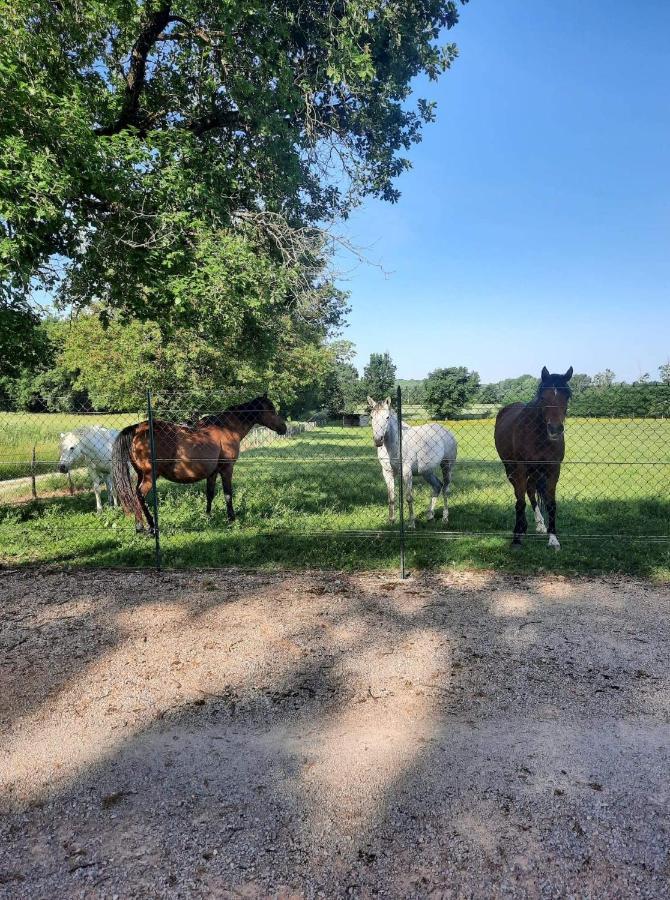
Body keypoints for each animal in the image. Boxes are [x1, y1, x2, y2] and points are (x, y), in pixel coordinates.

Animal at [111, 396, 288, 536]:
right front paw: (231, 519)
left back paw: (139, 526)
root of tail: (138, 429)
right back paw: (151, 527)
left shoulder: (212, 472)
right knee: (139, 495)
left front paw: (207, 517)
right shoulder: (226, 469)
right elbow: (228, 494)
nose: (283, 428)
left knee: (134, 496)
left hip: (141, 474)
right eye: (271, 410)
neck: (226, 428)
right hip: (150, 476)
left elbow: (210, 493)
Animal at [370, 396, 460, 528]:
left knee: (445, 489)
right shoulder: (387, 472)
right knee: (437, 486)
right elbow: (391, 497)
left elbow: (409, 497)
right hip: (427, 472)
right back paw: (430, 516)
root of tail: (448, 432)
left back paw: (445, 518)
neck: (395, 443)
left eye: (387, 417)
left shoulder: (407, 472)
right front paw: (391, 521)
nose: (378, 440)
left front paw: (411, 523)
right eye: (371, 417)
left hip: (447, 466)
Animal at [496, 364, 576, 548]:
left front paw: (553, 539)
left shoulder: (553, 469)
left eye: (567, 395)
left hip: (535, 471)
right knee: (521, 493)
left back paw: (540, 524)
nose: (555, 429)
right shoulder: (520, 468)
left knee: (530, 490)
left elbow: (551, 503)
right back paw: (523, 527)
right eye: (543, 397)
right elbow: (520, 502)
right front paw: (517, 538)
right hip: (510, 468)